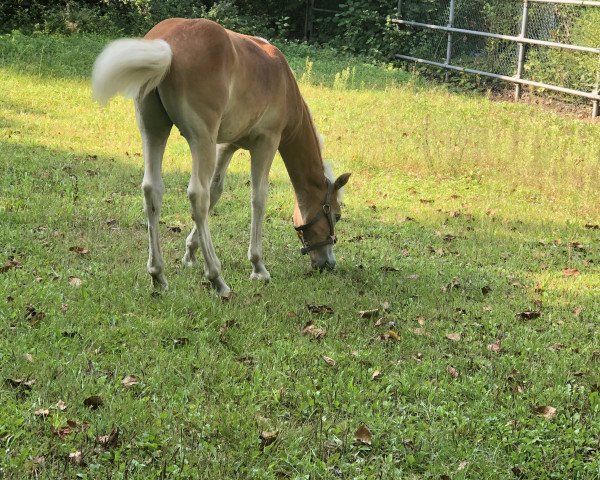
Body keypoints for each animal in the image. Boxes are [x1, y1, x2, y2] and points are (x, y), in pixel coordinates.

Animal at [91, 17, 350, 296]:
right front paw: (258, 266)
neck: (282, 81)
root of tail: (168, 45)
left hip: (153, 130)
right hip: (200, 138)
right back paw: (217, 278)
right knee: (198, 196)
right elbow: (258, 198)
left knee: (153, 190)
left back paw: (158, 275)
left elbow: (217, 190)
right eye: (336, 215)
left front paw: (190, 253)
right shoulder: (266, 143)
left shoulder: (226, 145)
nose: (328, 263)